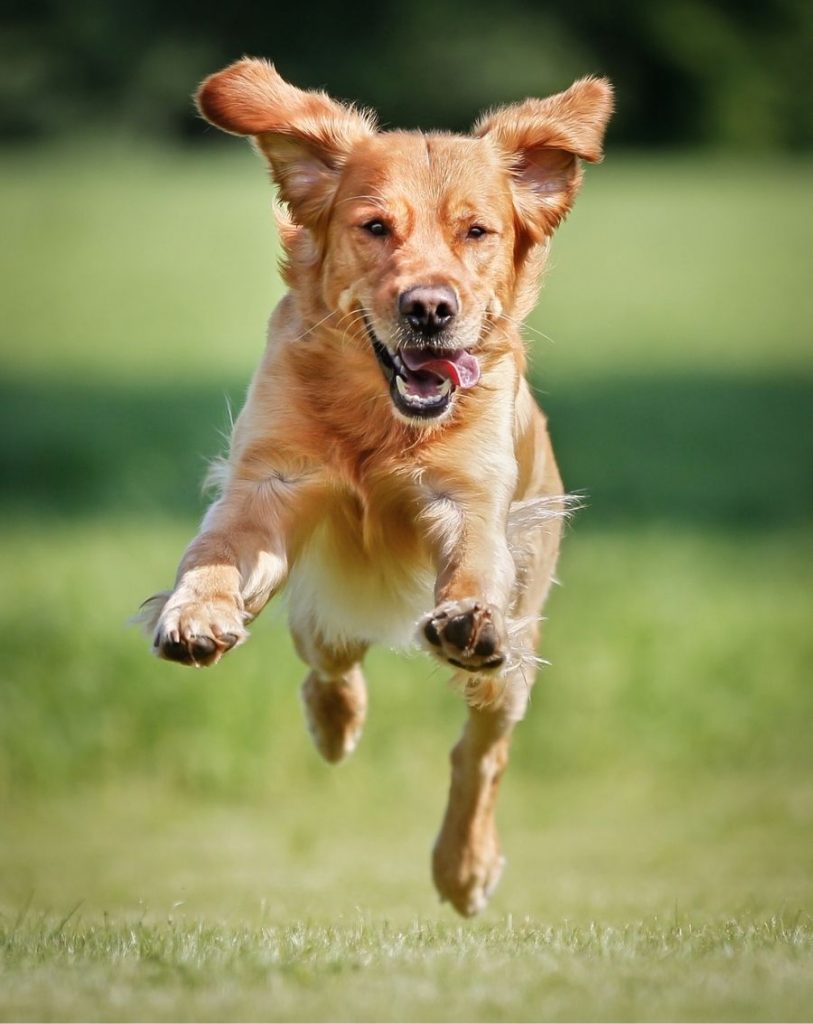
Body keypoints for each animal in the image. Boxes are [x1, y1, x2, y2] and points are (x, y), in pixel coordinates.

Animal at [141, 59, 606, 917]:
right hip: (322, 605)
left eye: (475, 232)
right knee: (329, 657)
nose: (429, 309)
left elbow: (471, 569)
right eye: (375, 227)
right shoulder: (268, 484)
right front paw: (195, 612)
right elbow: (215, 554)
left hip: (515, 655)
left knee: (480, 752)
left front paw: (465, 616)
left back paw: (463, 867)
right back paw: (332, 723)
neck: (379, 423)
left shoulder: (471, 502)